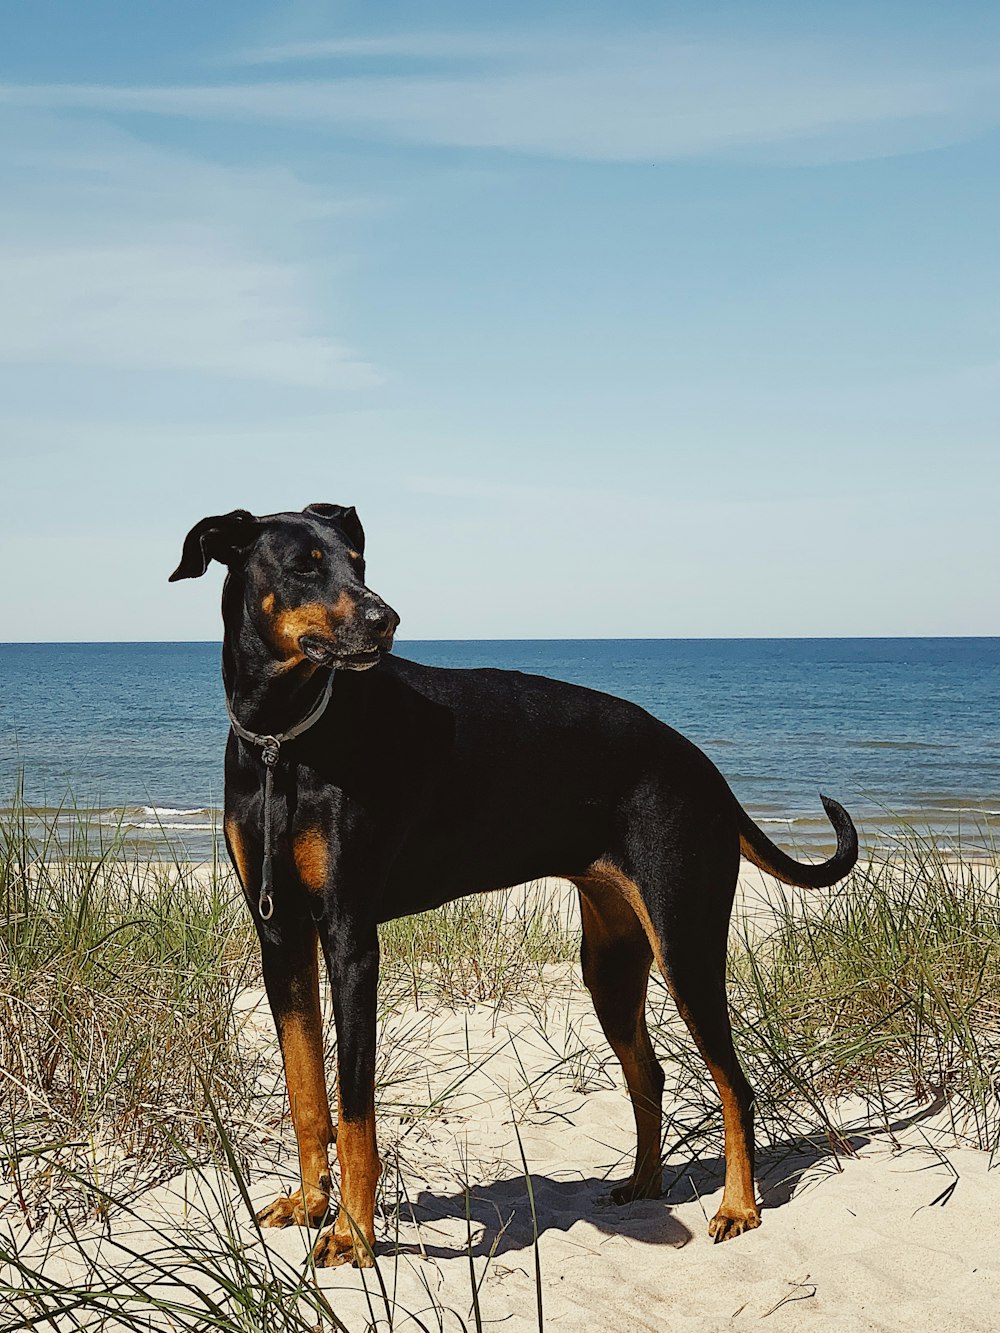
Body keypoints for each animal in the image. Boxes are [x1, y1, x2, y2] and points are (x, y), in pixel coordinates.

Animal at [168, 503, 858, 1263]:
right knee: (649, 1074)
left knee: (735, 1084)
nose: (387, 618)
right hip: (611, 961)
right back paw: (643, 1184)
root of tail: (706, 771)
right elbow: (307, 1094)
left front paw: (352, 1232)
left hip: (686, 943)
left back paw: (738, 1205)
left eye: (358, 561)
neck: (284, 741)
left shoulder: (350, 940)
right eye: (304, 566)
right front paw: (312, 1203)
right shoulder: (282, 935)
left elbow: (355, 1111)